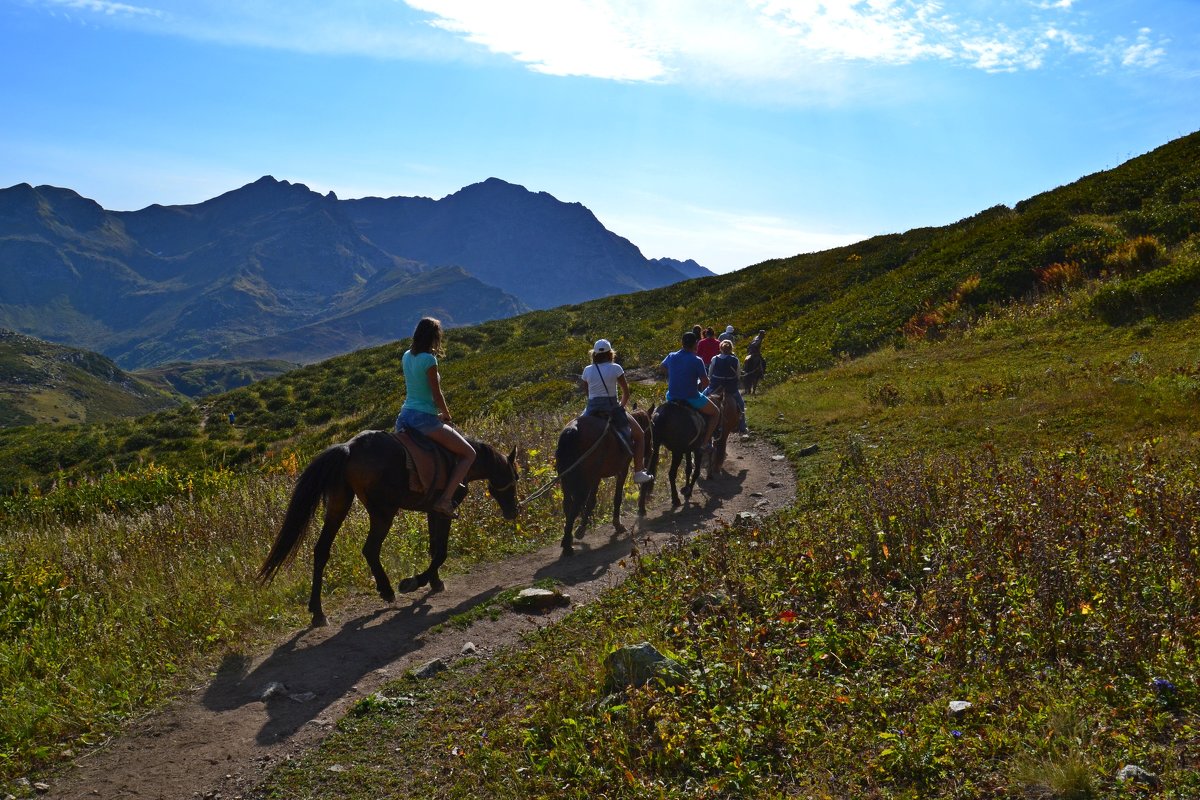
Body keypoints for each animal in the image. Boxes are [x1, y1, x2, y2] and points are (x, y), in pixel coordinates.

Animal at [260, 429, 518, 628]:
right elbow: (441, 552)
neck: (463, 460)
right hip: (383, 513)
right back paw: (386, 590)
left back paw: (318, 612)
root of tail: (349, 448)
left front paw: (435, 581)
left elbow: (434, 548)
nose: (513, 512)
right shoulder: (444, 510)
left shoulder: (432, 511)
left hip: (338, 504)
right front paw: (414, 581)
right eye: (515, 477)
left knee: (322, 550)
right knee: (370, 549)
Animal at [554, 407, 652, 551]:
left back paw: (568, 538)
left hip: (565, 478)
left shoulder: (596, 476)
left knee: (567, 504)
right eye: (651, 426)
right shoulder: (619, 470)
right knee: (577, 503)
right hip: (585, 479)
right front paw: (616, 524)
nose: (650, 450)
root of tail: (572, 431)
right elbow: (615, 497)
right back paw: (567, 545)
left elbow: (591, 502)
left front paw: (581, 528)